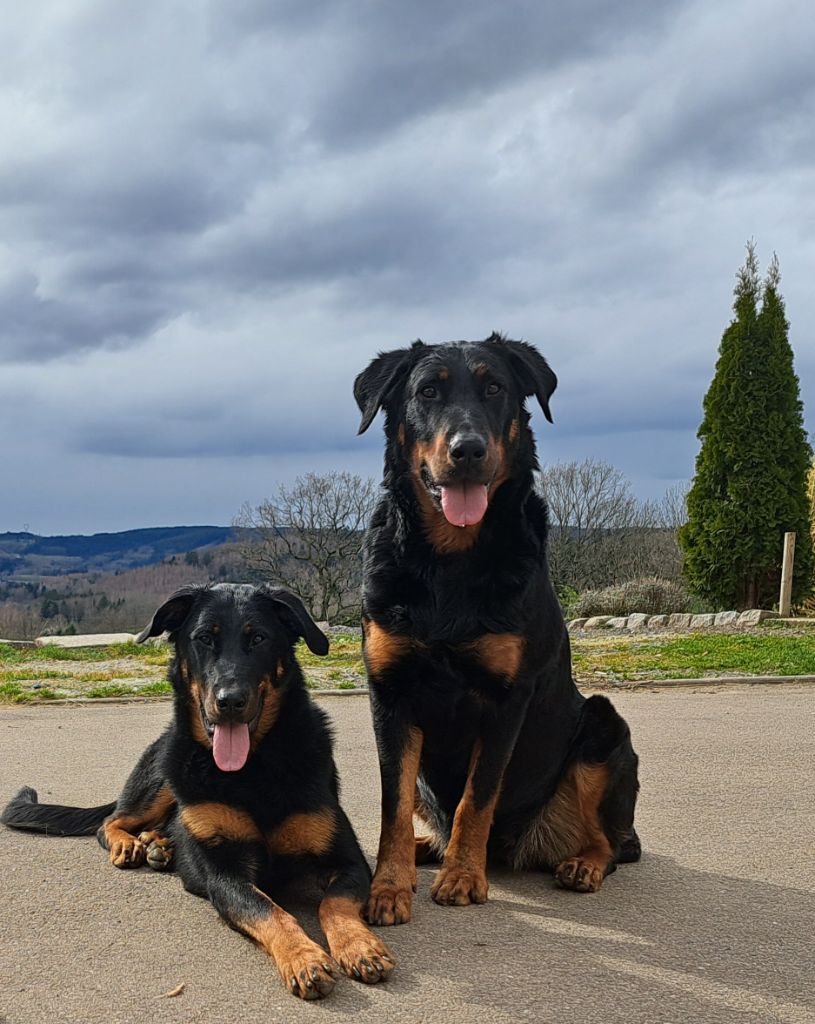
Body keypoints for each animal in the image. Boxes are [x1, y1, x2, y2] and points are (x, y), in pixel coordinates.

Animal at [0, 585, 391, 999]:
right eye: (204, 638)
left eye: (258, 638)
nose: (230, 701)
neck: (253, 766)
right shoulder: (226, 876)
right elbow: (271, 911)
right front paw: (304, 957)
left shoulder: (349, 862)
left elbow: (334, 903)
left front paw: (360, 946)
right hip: (162, 776)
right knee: (111, 820)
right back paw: (131, 843)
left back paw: (159, 845)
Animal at [354, 331, 638, 925]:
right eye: (428, 391)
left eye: (494, 388)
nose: (468, 449)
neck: (448, 563)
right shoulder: (390, 694)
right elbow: (394, 804)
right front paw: (389, 885)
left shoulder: (507, 698)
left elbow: (476, 796)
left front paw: (464, 875)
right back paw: (423, 850)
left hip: (605, 729)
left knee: (615, 841)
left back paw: (582, 863)